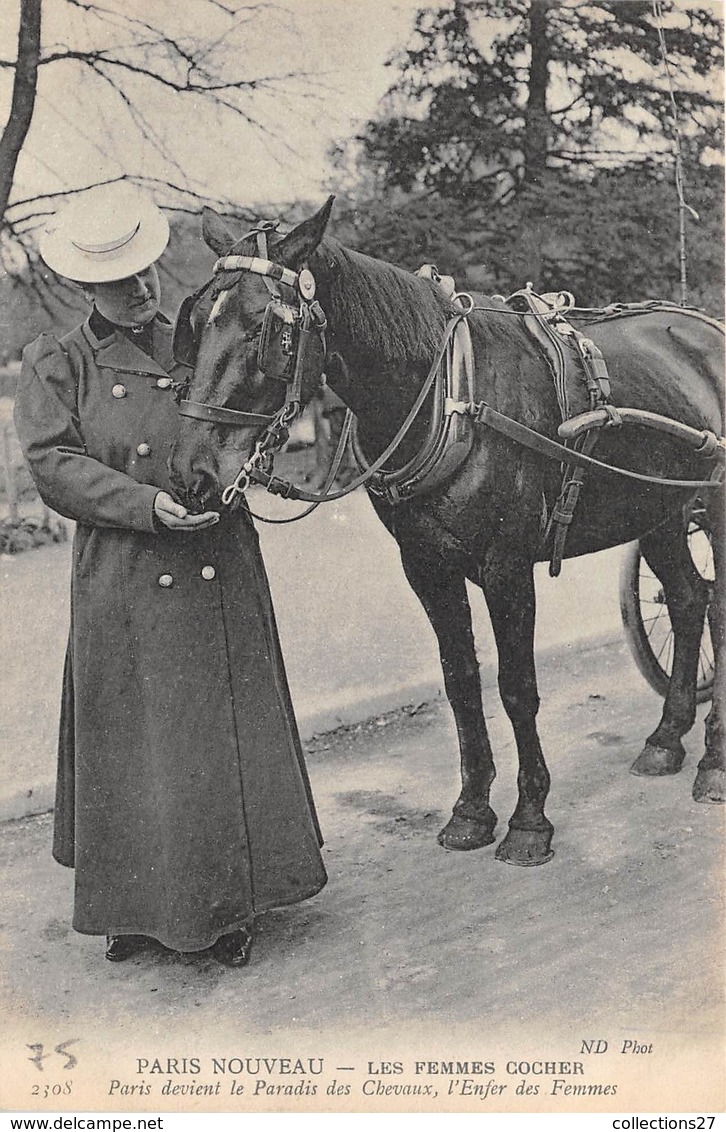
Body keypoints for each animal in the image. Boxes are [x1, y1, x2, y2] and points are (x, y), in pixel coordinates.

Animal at [165, 194, 724, 864]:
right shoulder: (426, 566)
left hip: (712, 504)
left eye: (264, 328)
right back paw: (667, 739)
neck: (449, 397)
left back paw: (713, 761)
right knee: (689, 600)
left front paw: (529, 819)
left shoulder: (506, 567)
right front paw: (472, 810)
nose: (190, 473)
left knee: (716, 606)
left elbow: (517, 686)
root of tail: (705, 327)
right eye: (197, 322)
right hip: (661, 508)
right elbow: (461, 681)